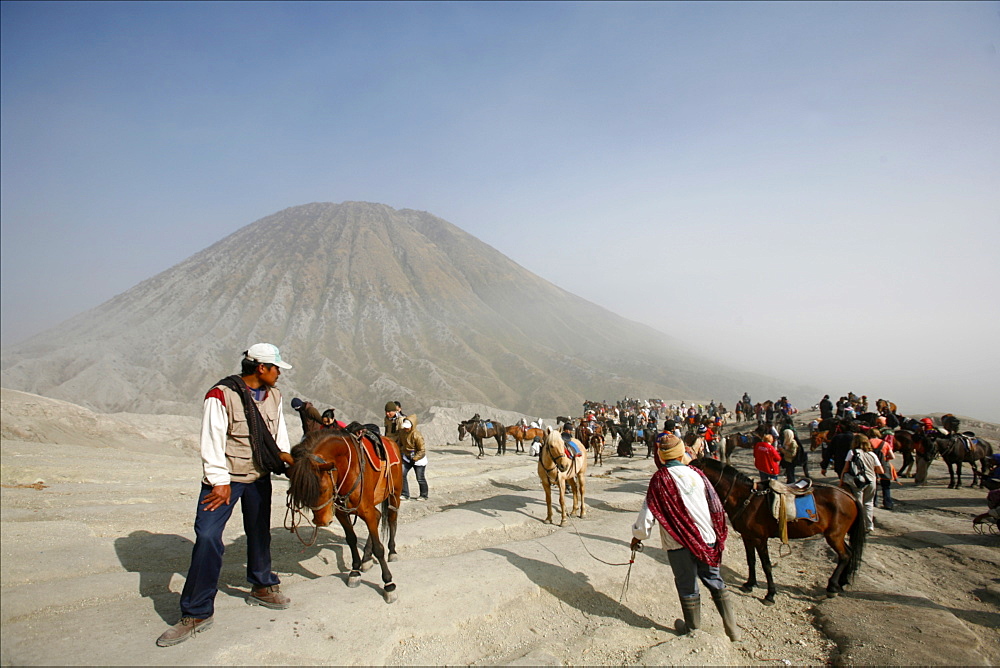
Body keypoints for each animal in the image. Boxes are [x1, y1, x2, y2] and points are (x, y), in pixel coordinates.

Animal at [286, 430, 402, 604]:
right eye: (304, 494)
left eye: (323, 489)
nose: (321, 521)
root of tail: (391, 440)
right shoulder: (341, 513)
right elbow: (351, 540)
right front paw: (354, 571)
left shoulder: (366, 511)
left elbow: (379, 548)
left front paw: (389, 585)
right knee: (378, 516)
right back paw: (366, 559)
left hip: (394, 494)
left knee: (391, 519)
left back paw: (392, 552)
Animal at [688, 460, 868, 604]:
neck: (745, 498)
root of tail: (849, 496)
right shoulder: (747, 537)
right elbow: (751, 560)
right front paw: (749, 584)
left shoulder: (760, 539)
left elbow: (766, 565)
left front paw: (770, 594)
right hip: (838, 535)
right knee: (849, 553)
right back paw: (840, 583)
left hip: (833, 535)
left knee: (844, 555)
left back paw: (832, 586)